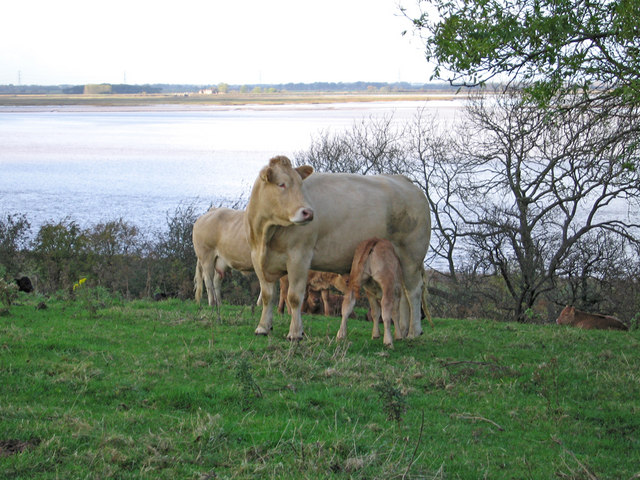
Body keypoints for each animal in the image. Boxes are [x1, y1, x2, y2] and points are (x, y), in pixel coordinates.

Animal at [245, 156, 430, 340]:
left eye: (301, 184)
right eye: (281, 184)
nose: (308, 213)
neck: (266, 235)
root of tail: (404, 180)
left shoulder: (299, 256)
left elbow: (294, 297)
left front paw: (295, 333)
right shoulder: (257, 259)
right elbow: (267, 295)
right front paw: (263, 327)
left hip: (411, 256)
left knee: (413, 291)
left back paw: (413, 332)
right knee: (403, 294)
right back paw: (403, 331)